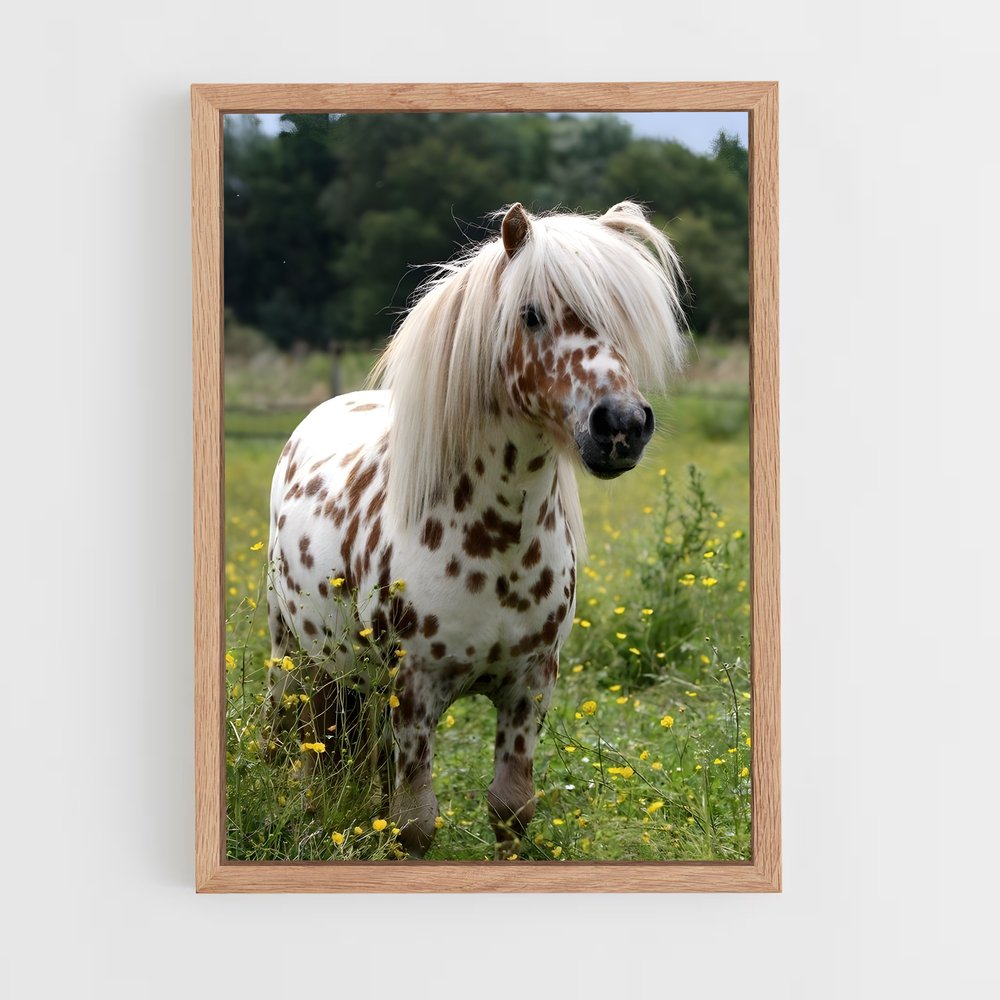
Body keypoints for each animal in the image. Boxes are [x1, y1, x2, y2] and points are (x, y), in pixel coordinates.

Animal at [264, 201, 686, 857]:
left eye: (624, 316)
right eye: (531, 314)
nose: (621, 425)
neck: (494, 540)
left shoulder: (529, 687)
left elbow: (511, 808)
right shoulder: (413, 691)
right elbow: (414, 823)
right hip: (294, 657)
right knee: (300, 740)